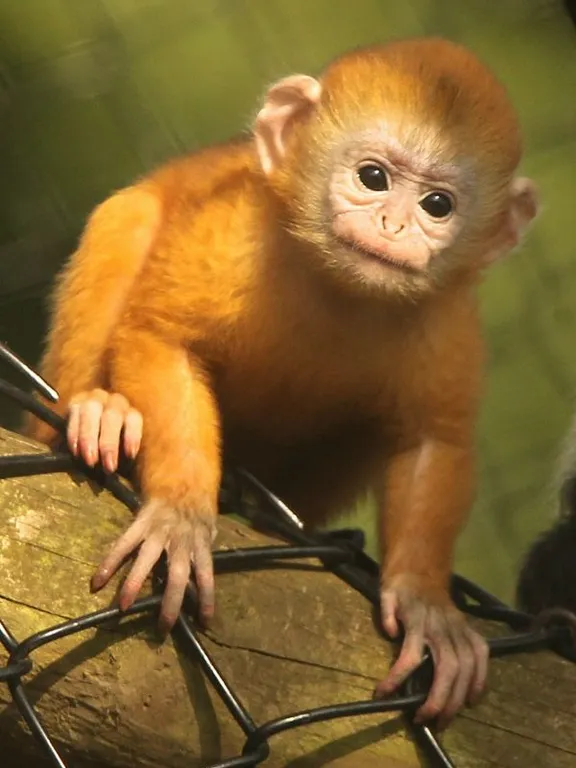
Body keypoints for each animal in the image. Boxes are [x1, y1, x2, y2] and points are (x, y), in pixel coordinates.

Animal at [27, 40, 540, 728]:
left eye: (438, 205)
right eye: (373, 177)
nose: (393, 227)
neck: (337, 289)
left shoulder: (448, 319)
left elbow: (434, 440)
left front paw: (427, 602)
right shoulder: (236, 235)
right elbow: (160, 335)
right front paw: (181, 516)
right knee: (127, 218)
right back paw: (99, 415)